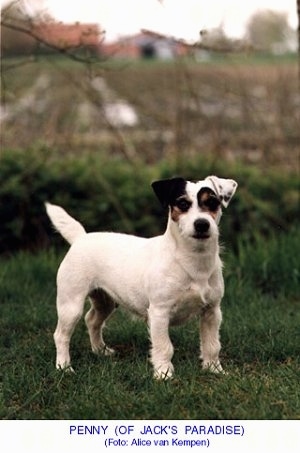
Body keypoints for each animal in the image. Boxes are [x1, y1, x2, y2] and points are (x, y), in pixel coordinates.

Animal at [45, 175, 237, 380]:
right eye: (183, 204)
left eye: (213, 203)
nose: (202, 224)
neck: (192, 262)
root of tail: (80, 238)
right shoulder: (159, 313)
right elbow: (164, 346)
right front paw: (164, 374)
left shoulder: (212, 312)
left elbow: (212, 345)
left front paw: (214, 369)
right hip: (70, 305)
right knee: (61, 335)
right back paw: (64, 367)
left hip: (105, 301)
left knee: (92, 320)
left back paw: (100, 350)